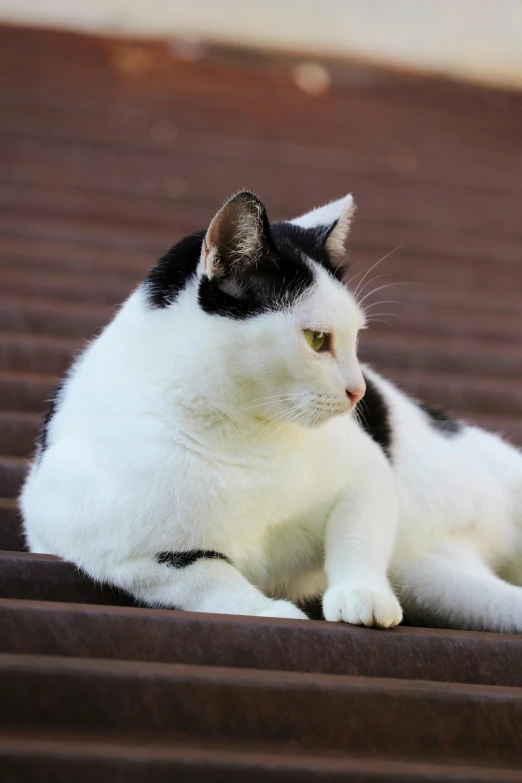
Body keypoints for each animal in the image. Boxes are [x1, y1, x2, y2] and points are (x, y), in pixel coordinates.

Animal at [19, 193, 520, 632]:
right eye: (317, 339)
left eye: (356, 337)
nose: (358, 391)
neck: (243, 433)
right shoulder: (106, 547)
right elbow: (209, 579)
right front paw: (271, 612)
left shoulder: (369, 471)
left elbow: (357, 535)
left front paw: (361, 594)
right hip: (436, 577)